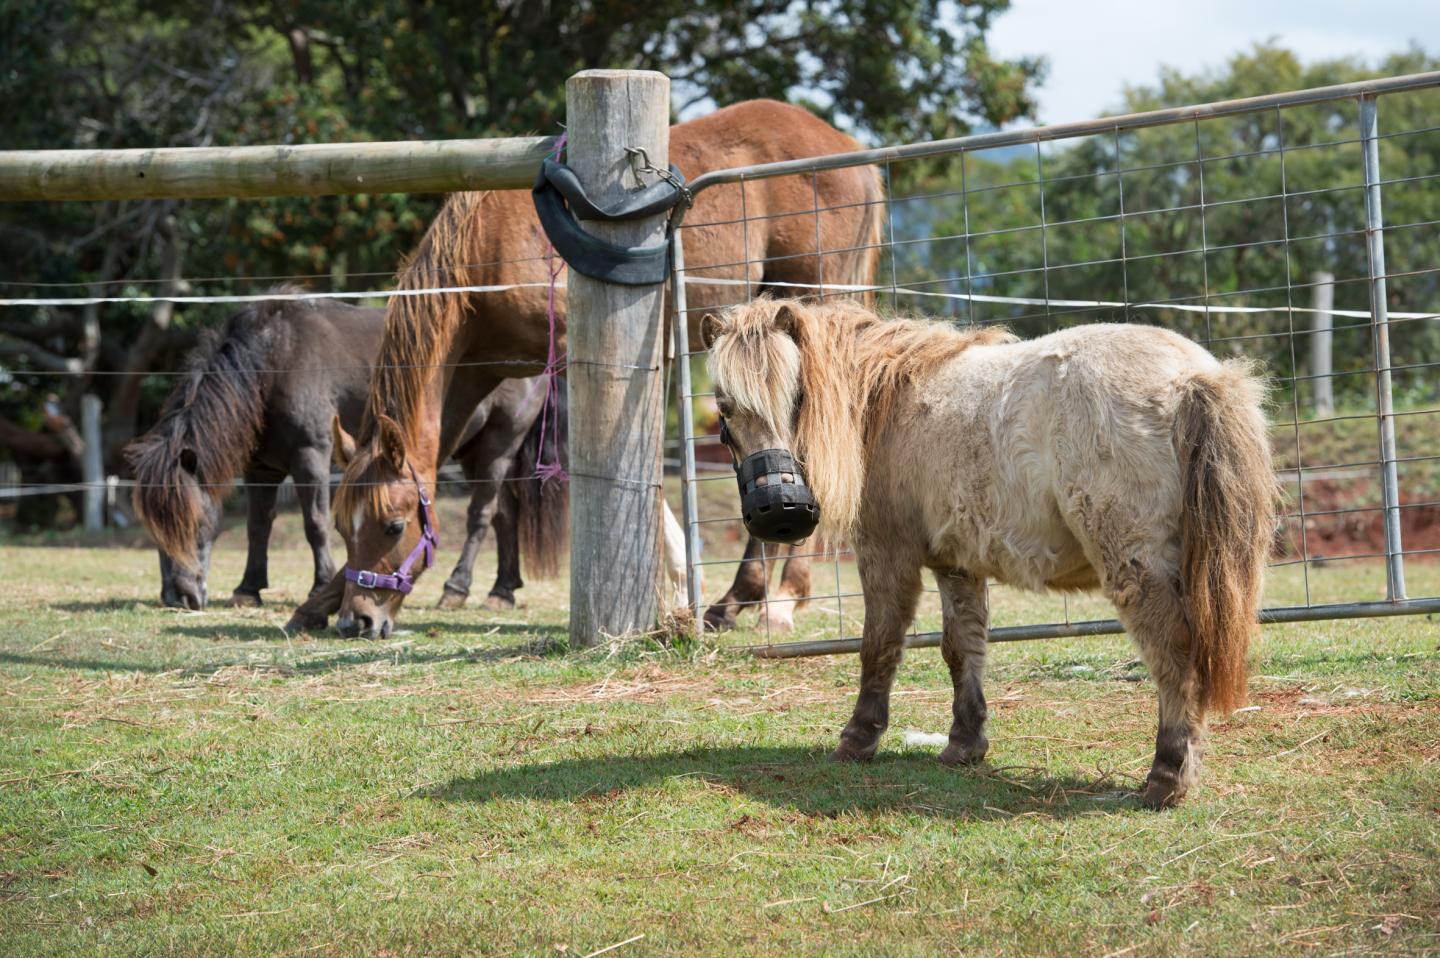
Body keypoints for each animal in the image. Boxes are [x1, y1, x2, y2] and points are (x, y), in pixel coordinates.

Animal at [127, 296, 567, 621]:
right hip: (475, 448)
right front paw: (247, 590)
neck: (274, 357)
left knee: (482, 515)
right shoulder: (262, 467)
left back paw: (456, 589)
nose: (178, 597)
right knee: (505, 515)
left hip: (499, 444)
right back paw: (502, 591)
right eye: (152, 528)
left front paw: (321, 584)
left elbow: (315, 523)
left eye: (194, 522)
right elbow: (257, 527)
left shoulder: (312, 454)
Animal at [331, 99, 884, 641]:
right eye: (340, 525)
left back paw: (775, 601)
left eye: (393, 525)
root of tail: (851, 151)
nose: (358, 619)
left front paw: (679, 583)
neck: (484, 254)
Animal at [702, 298, 1276, 808]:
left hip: (1136, 564)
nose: (781, 511)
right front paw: (964, 743)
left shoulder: (887, 554)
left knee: (1172, 655)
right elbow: (962, 649)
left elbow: (879, 647)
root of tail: (1192, 378)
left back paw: (1166, 777)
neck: (889, 403)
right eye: (726, 407)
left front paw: (858, 738)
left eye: (796, 396)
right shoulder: (956, 565)